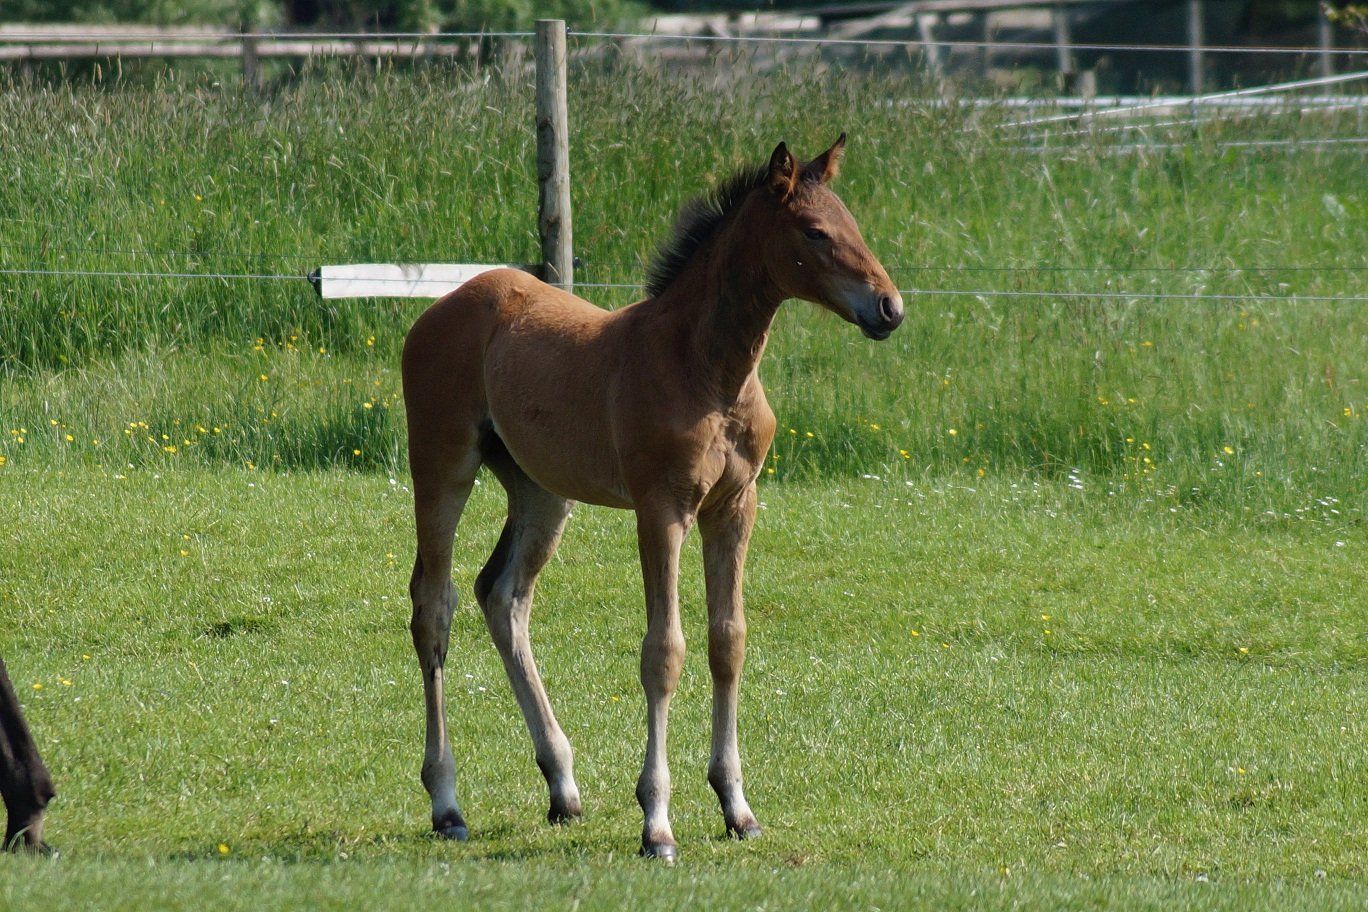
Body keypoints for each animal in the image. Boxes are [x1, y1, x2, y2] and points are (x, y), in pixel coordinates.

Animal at [401, 134, 903, 860]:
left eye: (853, 223)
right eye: (814, 230)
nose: (889, 309)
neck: (707, 369)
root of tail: (441, 306)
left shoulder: (735, 506)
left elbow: (728, 641)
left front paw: (736, 805)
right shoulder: (661, 510)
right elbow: (664, 653)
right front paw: (657, 823)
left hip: (541, 491)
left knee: (503, 596)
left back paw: (563, 786)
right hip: (443, 463)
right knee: (433, 606)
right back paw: (447, 803)